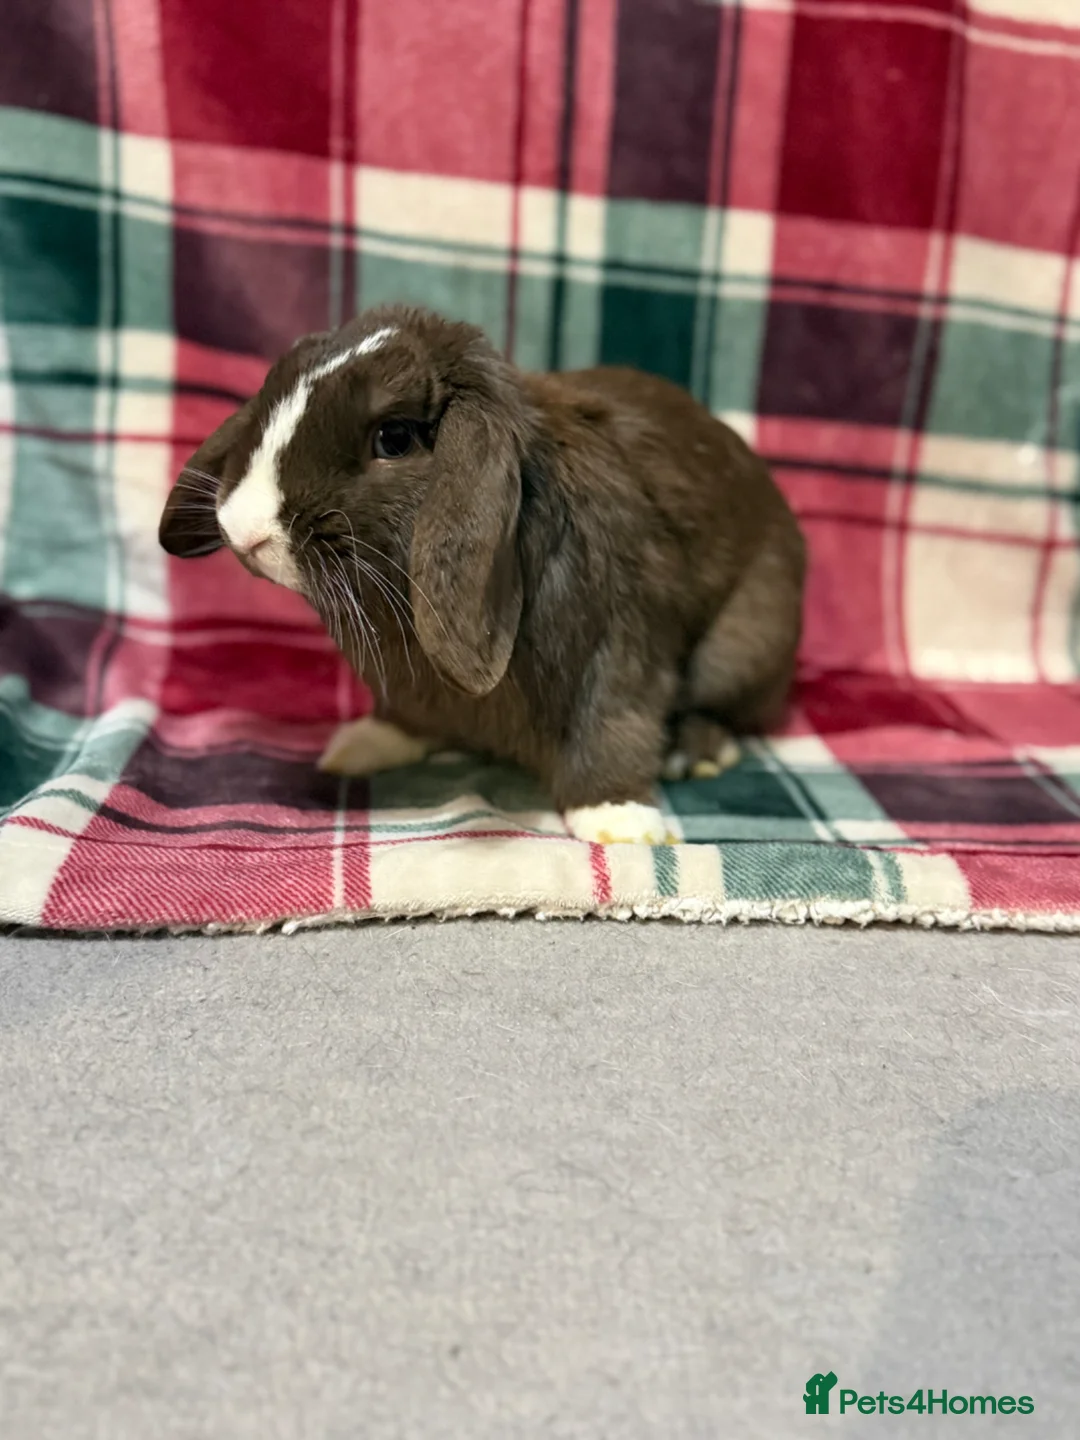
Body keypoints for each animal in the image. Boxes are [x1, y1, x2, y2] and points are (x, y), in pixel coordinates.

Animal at [159, 304, 805, 844]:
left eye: (393, 437)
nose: (244, 528)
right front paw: (363, 744)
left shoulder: (618, 645)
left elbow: (611, 724)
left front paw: (620, 822)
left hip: (741, 647)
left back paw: (693, 753)